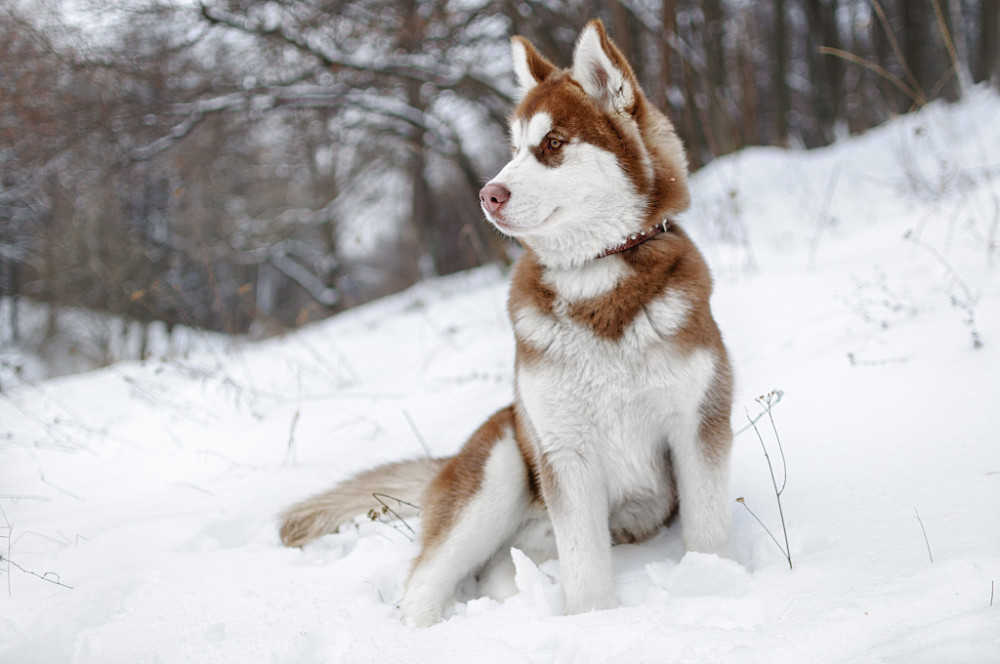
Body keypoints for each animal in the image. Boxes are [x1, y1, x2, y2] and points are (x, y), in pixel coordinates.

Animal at [282, 18, 736, 624]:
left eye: (552, 144)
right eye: (515, 149)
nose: (487, 194)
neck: (595, 279)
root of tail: (451, 460)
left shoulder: (697, 424)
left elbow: (707, 537)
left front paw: (714, 591)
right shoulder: (564, 451)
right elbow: (586, 574)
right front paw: (593, 623)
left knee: (499, 568)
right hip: (500, 468)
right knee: (423, 584)